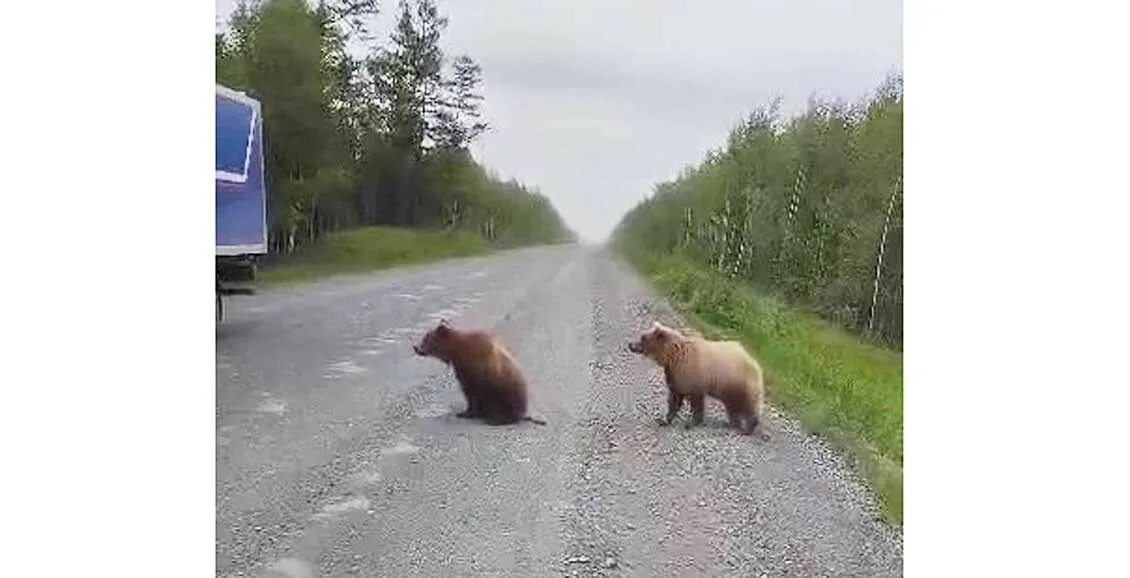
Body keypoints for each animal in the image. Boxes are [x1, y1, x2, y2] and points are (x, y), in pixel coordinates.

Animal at [415, 318, 546, 426]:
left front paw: (467, 413)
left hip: (508, 393)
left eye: (426, 337)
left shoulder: (474, 371)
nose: (415, 347)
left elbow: (472, 393)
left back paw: (496, 419)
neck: (456, 351)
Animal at [628, 320, 768, 438]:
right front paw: (664, 419)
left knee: (749, 404)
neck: (673, 357)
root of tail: (755, 363)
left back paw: (748, 428)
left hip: (740, 383)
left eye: (643, 337)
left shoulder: (694, 376)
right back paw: (733, 423)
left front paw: (691, 422)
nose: (630, 345)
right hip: (731, 389)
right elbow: (674, 398)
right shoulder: (676, 375)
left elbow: (696, 402)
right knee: (733, 406)